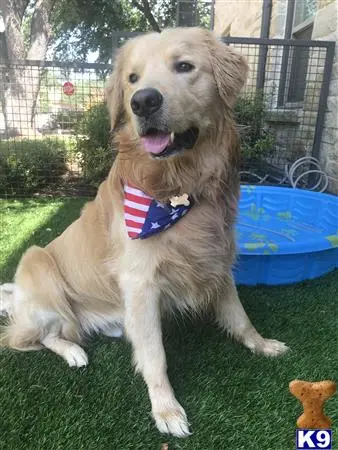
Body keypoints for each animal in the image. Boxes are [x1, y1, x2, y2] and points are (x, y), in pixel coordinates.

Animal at [0, 28, 288, 436]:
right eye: (132, 79)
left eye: (184, 66)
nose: (143, 101)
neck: (179, 187)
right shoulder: (141, 282)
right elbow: (154, 354)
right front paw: (166, 410)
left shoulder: (217, 258)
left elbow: (239, 317)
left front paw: (261, 345)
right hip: (38, 263)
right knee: (42, 335)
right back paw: (74, 351)